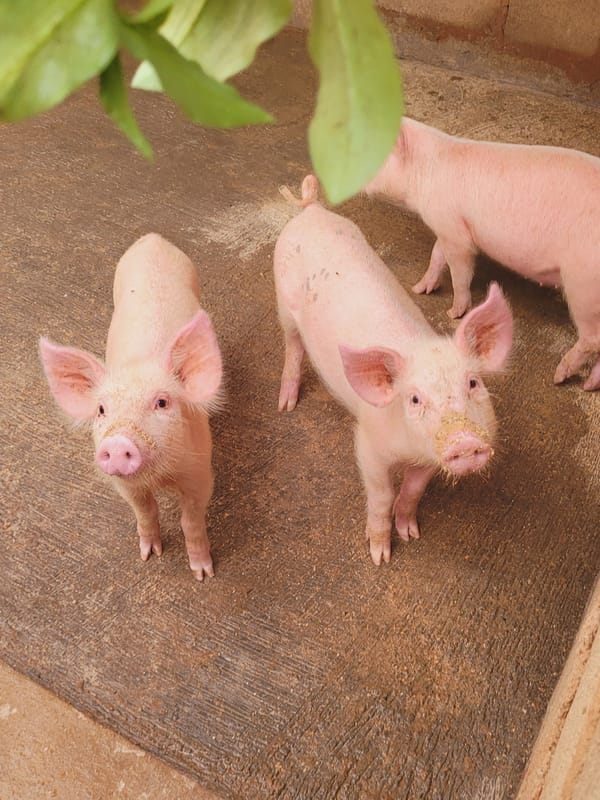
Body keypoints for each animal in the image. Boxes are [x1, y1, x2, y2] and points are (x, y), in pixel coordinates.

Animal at [39, 233, 222, 580]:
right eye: (101, 409)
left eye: (162, 402)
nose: (117, 442)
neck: (160, 476)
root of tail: (153, 238)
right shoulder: (124, 485)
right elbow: (145, 511)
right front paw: (149, 555)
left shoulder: (200, 471)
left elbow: (191, 521)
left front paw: (203, 574)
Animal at [275, 175, 513, 565]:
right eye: (414, 399)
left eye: (473, 383)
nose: (464, 441)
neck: (407, 449)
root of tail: (310, 211)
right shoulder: (368, 445)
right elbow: (382, 495)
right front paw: (380, 556)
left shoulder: (429, 457)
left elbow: (413, 490)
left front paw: (411, 532)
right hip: (282, 302)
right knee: (293, 346)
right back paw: (286, 405)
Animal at [364, 117, 600, 390]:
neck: (424, 174)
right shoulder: (447, 226)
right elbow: (437, 254)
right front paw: (420, 288)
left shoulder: (455, 233)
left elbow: (460, 272)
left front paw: (454, 313)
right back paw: (589, 386)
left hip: (583, 285)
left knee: (592, 339)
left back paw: (559, 377)